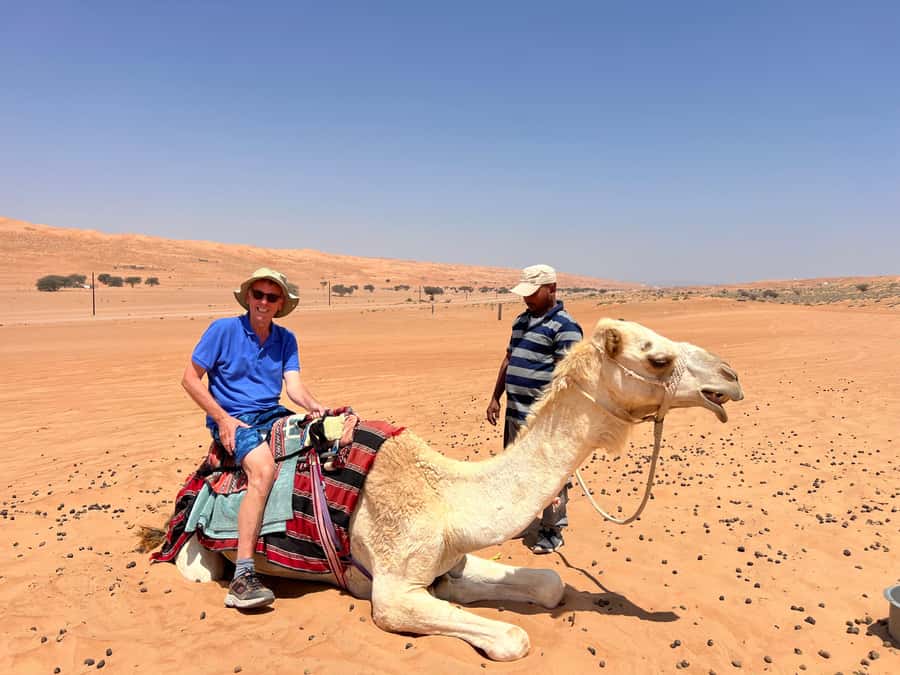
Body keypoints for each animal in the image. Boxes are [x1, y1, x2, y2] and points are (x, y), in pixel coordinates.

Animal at [157, 318, 743, 660]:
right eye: (657, 358)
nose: (730, 376)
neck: (447, 500)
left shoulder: (450, 562)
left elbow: (550, 585)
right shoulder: (391, 592)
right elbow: (513, 637)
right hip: (199, 551)